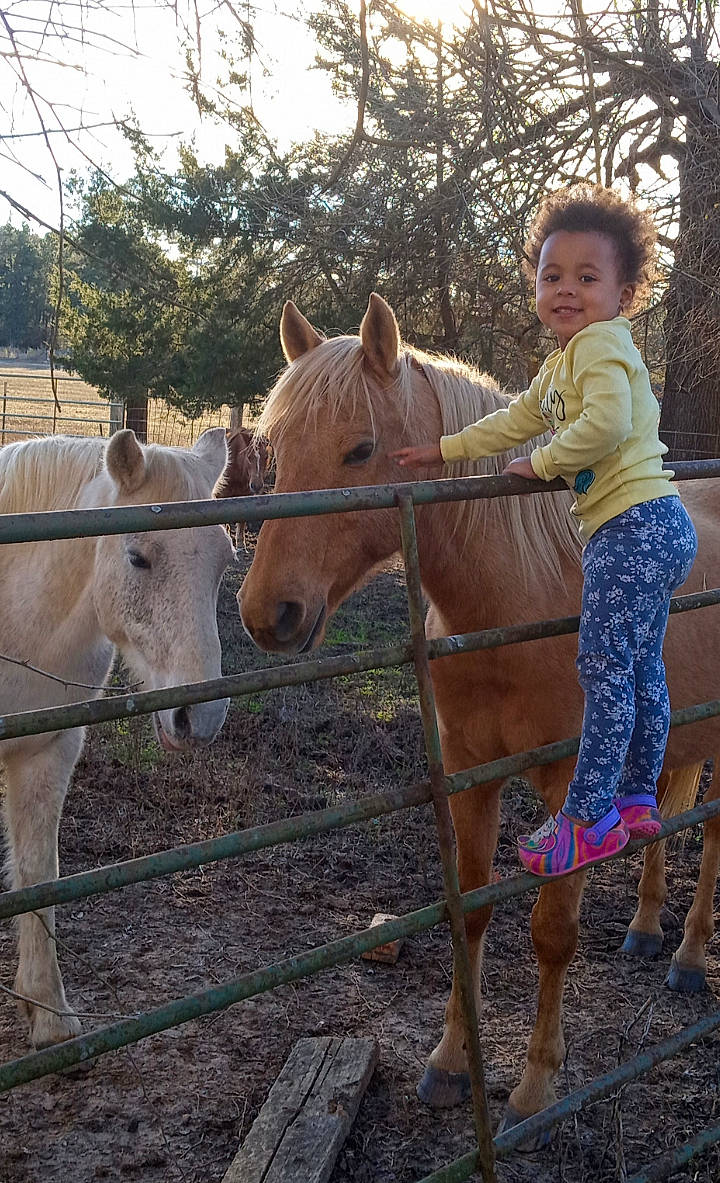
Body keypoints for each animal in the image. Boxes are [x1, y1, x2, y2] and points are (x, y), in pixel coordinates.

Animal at [0, 428, 234, 1049]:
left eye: (224, 563)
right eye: (137, 557)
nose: (199, 717)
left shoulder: (48, 751)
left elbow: (39, 875)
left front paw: (49, 1015)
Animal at [239, 293, 720, 1138]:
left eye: (360, 449)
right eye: (275, 450)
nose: (269, 613)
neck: (520, 598)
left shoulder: (569, 789)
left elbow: (552, 934)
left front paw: (534, 1086)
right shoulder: (469, 776)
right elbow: (469, 917)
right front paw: (449, 1063)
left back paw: (691, 960)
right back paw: (646, 929)